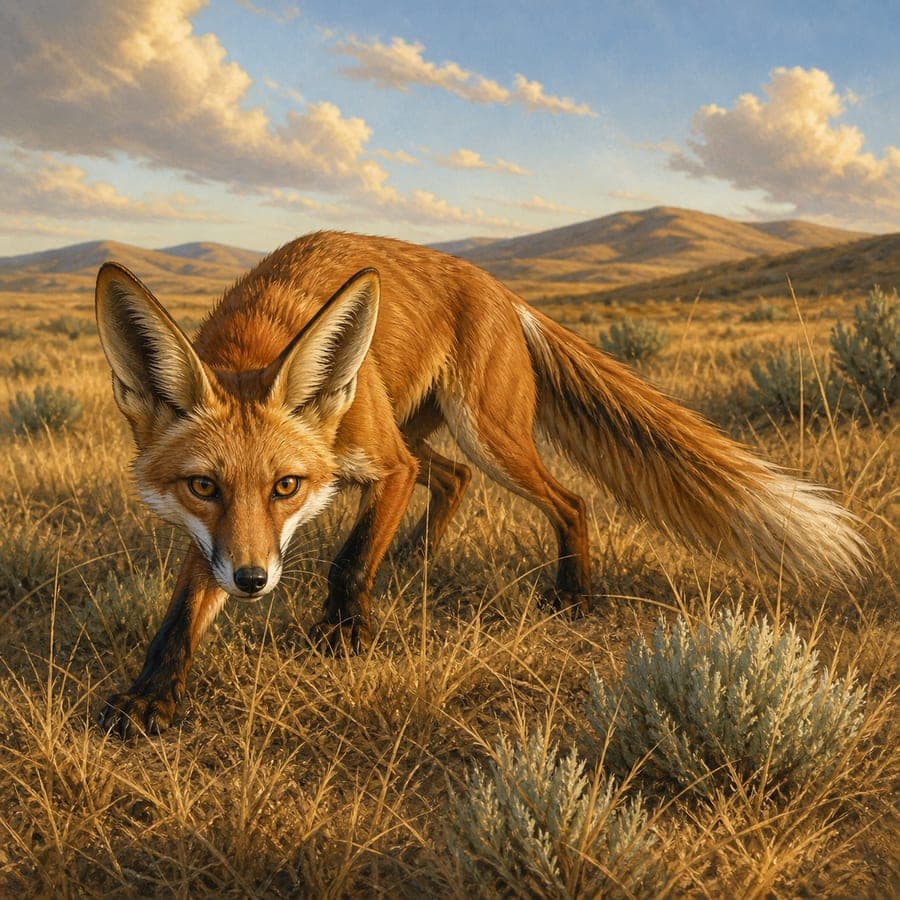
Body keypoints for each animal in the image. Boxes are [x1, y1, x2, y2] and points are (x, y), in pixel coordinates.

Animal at [95, 230, 866, 737]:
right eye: (203, 487)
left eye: (287, 485)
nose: (253, 584)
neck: (261, 337)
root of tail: (501, 288)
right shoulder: (222, 537)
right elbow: (180, 617)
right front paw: (150, 699)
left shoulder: (379, 470)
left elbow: (347, 563)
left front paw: (344, 637)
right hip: (427, 437)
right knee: (455, 479)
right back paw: (415, 558)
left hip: (481, 435)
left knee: (569, 500)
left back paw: (572, 595)